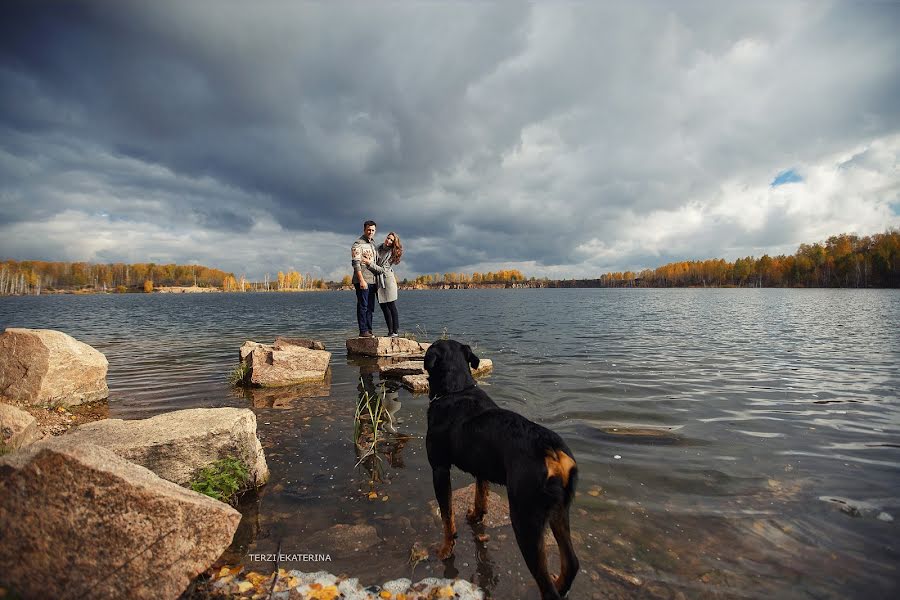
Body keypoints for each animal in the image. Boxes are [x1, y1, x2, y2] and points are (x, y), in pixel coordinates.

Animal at [426, 340, 580, 596]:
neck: (456, 389)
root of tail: (551, 450)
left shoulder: (439, 469)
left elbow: (447, 516)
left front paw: (446, 548)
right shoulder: (481, 469)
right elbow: (480, 496)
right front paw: (475, 516)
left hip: (525, 518)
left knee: (547, 585)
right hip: (559, 511)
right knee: (571, 564)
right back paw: (561, 583)